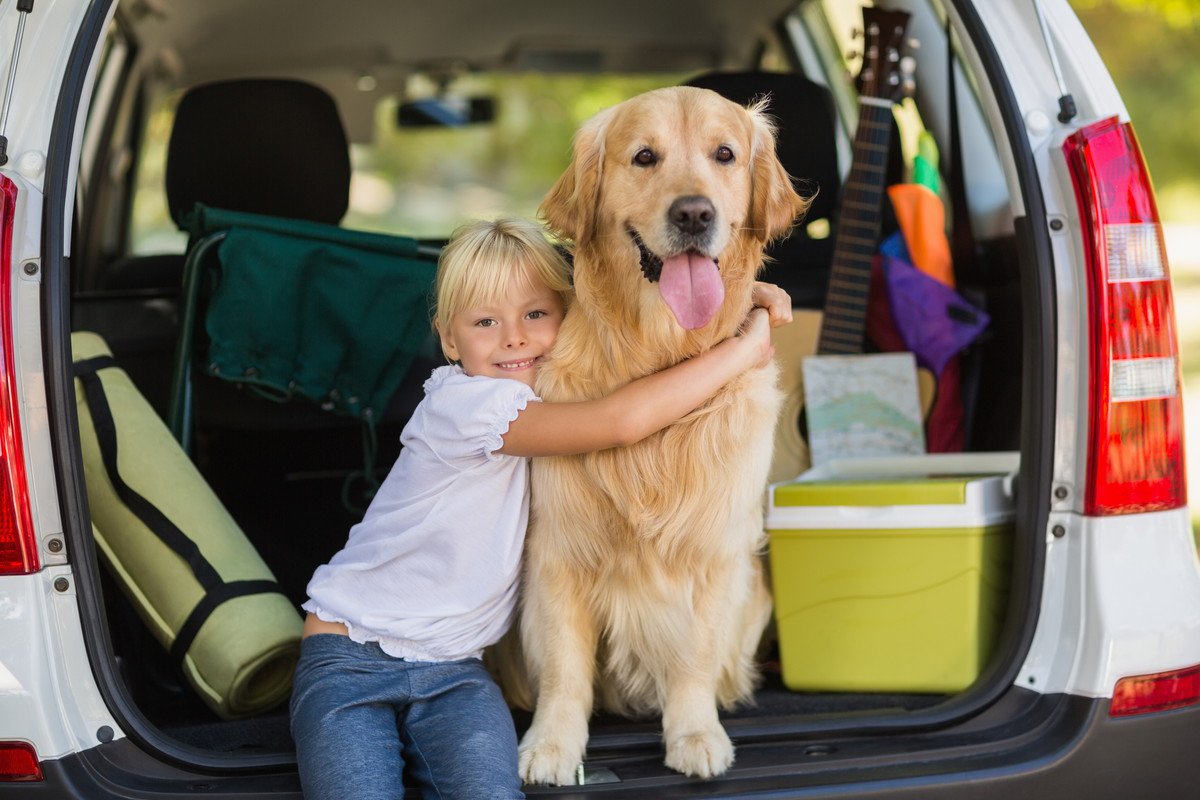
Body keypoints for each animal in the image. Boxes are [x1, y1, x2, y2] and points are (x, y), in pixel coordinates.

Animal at [513, 86, 806, 782]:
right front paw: (553, 745)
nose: (694, 213)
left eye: (725, 154)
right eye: (644, 157)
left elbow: (693, 655)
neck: (659, 355)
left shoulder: (714, 551)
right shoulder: (559, 551)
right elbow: (564, 667)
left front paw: (695, 733)